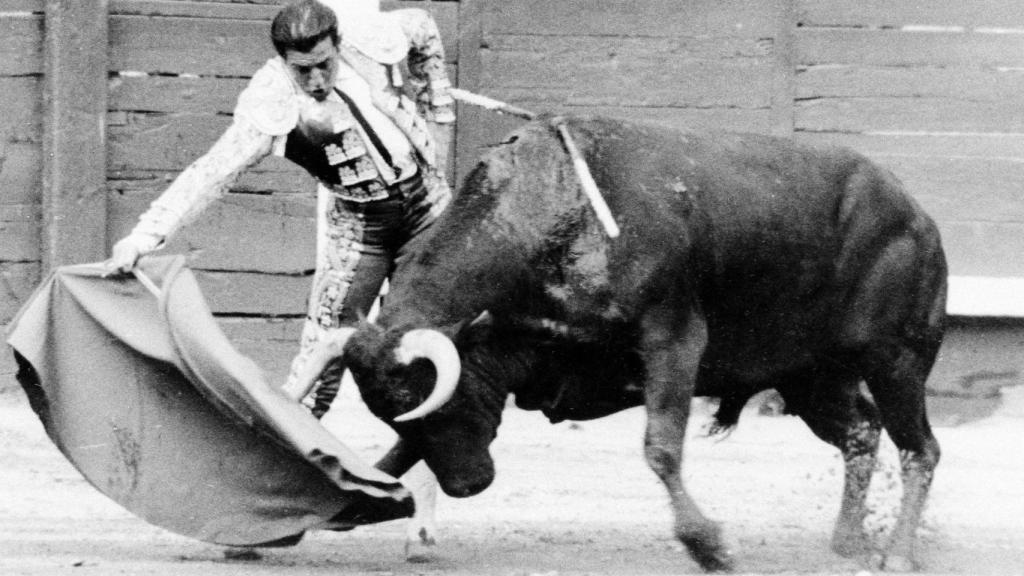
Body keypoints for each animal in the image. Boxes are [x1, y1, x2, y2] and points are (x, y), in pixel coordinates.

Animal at [294, 115, 942, 569]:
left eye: (437, 405)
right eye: (394, 414)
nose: (468, 485)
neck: (550, 213)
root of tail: (916, 214)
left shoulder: (673, 339)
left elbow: (661, 448)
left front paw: (709, 546)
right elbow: (395, 456)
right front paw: (349, 505)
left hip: (897, 361)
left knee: (921, 449)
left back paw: (898, 554)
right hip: (811, 377)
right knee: (861, 433)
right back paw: (848, 542)